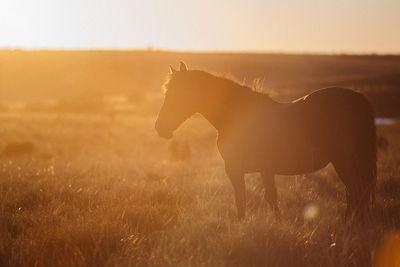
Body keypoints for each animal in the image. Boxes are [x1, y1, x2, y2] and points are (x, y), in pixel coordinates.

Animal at [155, 61, 376, 222]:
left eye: (176, 93)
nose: (159, 127)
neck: (236, 116)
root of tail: (357, 97)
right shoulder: (264, 169)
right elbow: (267, 198)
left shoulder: (240, 169)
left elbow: (247, 200)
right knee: (355, 193)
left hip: (345, 161)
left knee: (357, 192)